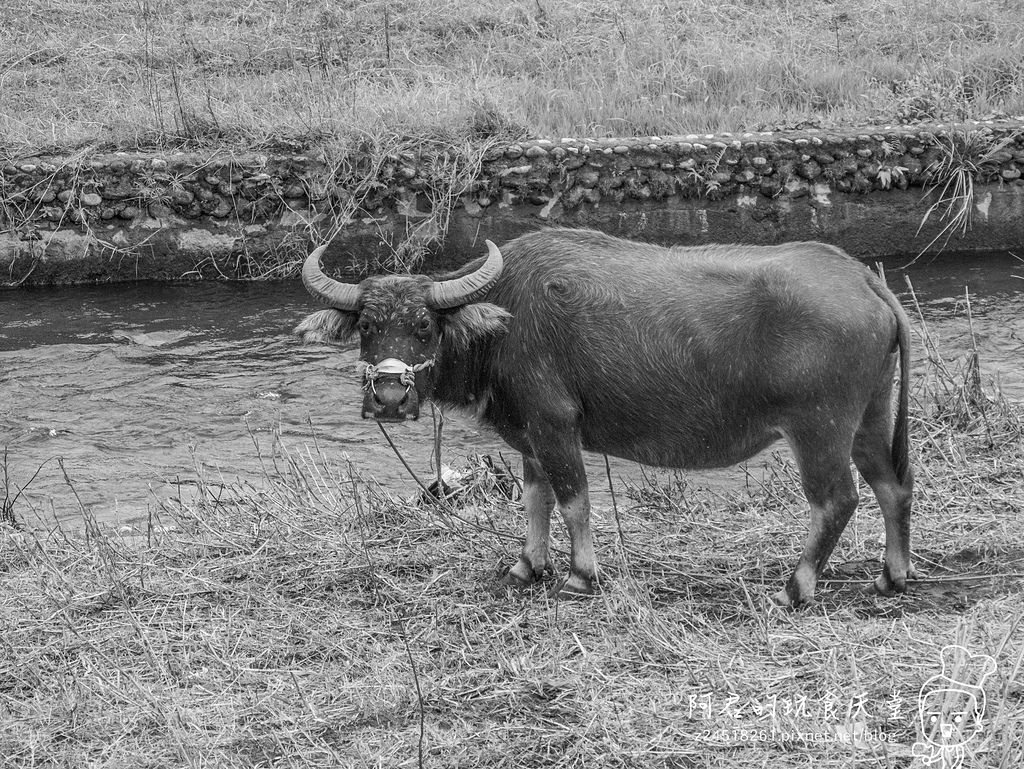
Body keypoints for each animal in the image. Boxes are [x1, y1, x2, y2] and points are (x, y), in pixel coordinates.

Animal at [296, 228, 913, 606]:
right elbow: (536, 499)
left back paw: (794, 587)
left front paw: (578, 576)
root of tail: (862, 278)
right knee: (892, 484)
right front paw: (527, 565)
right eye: (367, 327)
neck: (506, 321)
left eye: (425, 326)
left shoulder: (555, 424)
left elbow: (573, 499)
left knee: (837, 499)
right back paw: (892, 575)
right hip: (870, 416)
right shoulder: (530, 437)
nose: (389, 399)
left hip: (819, 428)